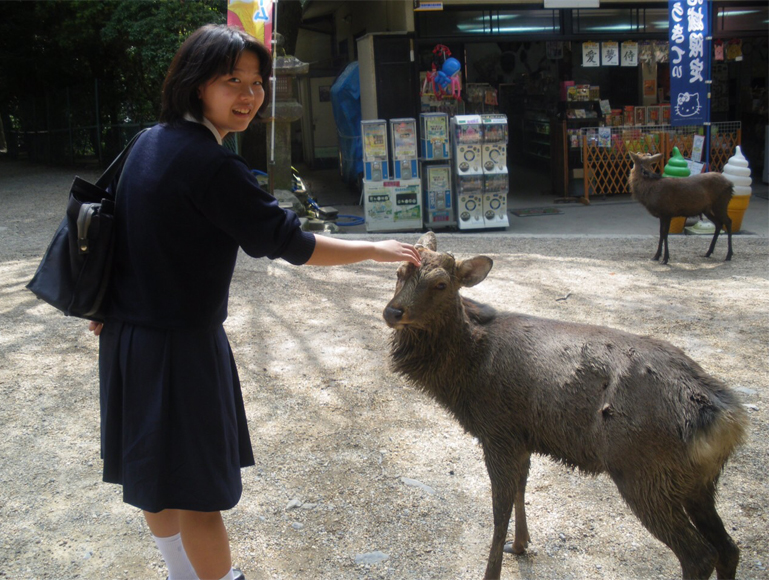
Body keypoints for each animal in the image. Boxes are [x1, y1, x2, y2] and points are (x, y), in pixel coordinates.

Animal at [382, 232, 744, 580]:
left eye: (441, 284)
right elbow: (521, 489)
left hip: (643, 471)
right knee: (728, 548)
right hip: (697, 481)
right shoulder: (522, 437)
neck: (465, 374)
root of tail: (725, 419)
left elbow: (499, 510)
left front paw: (494, 570)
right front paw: (521, 545)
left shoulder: (498, 431)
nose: (393, 312)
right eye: (399, 272)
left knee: (699, 555)